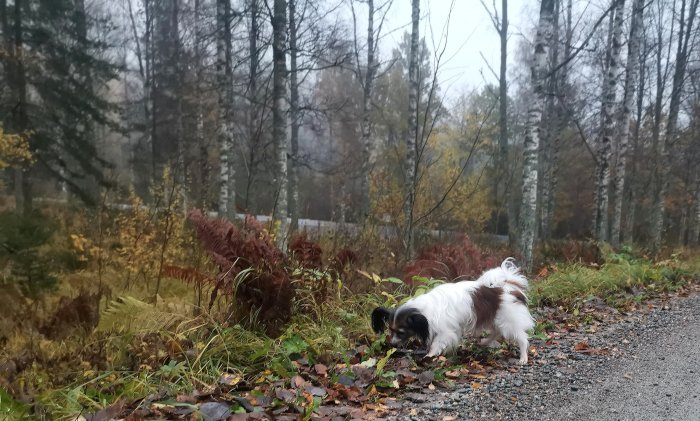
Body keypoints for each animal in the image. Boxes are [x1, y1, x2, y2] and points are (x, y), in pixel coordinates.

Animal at [374, 258, 532, 362]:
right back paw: (485, 341)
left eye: (401, 332)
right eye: (390, 330)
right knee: (496, 332)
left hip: (508, 322)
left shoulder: (445, 331)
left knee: (522, 338)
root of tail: (508, 286)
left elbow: (436, 343)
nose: (392, 344)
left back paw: (523, 358)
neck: (423, 311)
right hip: (495, 319)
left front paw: (429, 356)